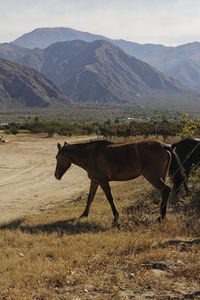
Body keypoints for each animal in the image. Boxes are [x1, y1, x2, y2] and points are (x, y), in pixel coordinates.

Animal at [54, 138, 186, 223]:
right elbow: (90, 198)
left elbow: (110, 198)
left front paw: (116, 216)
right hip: (160, 176)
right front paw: (84, 214)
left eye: (56, 157)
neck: (90, 155)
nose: (56, 175)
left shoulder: (103, 182)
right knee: (164, 192)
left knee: (166, 190)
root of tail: (163, 145)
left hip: (153, 177)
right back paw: (161, 216)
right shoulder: (95, 182)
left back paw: (161, 217)